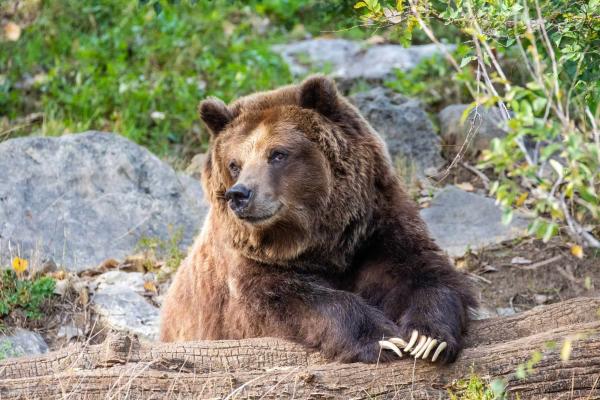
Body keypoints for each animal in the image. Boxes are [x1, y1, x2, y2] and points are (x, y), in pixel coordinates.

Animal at [161, 73, 478, 364]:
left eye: (277, 154)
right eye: (234, 164)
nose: (239, 194)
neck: (317, 241)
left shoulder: (376, 230)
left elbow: (425, 272)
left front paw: (427, 338)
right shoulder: (249, 267)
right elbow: (291, 300)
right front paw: (381, 339)